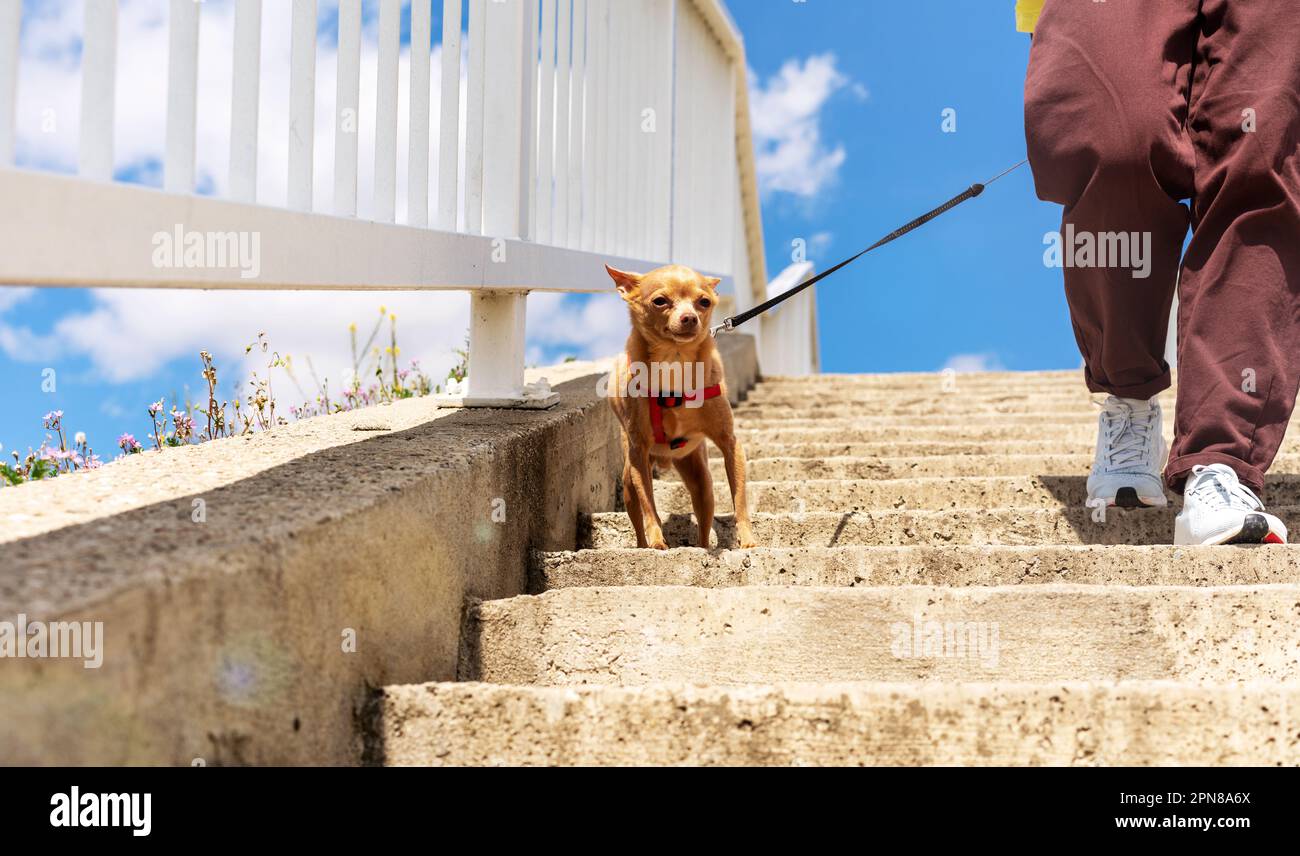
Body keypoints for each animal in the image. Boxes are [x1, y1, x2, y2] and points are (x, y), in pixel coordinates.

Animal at [603, 262, 759, 548]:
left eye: (704, 302)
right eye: (660, 301)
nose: (690, 318)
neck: (674, 360)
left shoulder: (730, 444)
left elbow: (739, 499)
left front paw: (747, 540)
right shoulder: (639, 451)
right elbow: (649, 508)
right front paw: (657, 542)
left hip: (702, 482)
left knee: (704, 527)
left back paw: (702, 546)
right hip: (630, 476)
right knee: (639, 515)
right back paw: (644, 546)